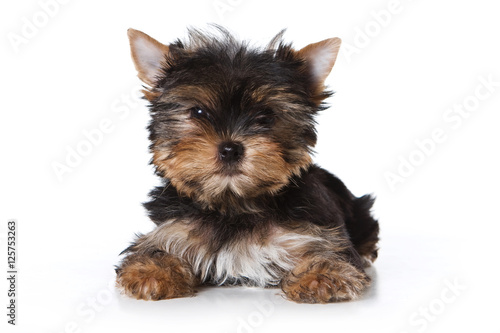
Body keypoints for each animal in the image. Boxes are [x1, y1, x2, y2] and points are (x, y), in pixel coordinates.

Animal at [114, 26, 378, 302]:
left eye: (266, 116)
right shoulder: (173, 229)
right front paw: (151, 271)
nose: (230, 149)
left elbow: (330, 251)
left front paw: (323, 276)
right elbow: (154, 249)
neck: (234, 205)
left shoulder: (313, 232)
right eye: (198, 112)